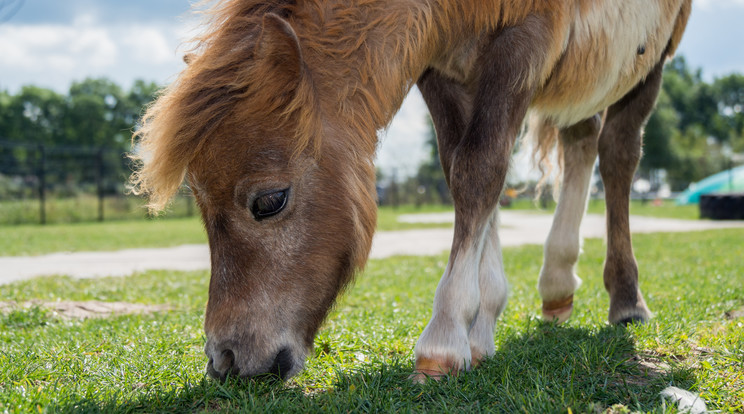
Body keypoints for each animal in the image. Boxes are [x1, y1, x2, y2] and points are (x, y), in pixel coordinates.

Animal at [128, 0, 692, 382]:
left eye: (269, 201)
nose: (223, 358)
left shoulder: (524, 38)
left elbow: (480, 170)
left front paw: (445, 339)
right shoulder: (439, 65)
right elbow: (466, 172)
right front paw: (481, 327)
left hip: (653, 56)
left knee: (618, 152)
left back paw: (626, 298)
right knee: (581, 139)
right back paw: (556, 286)